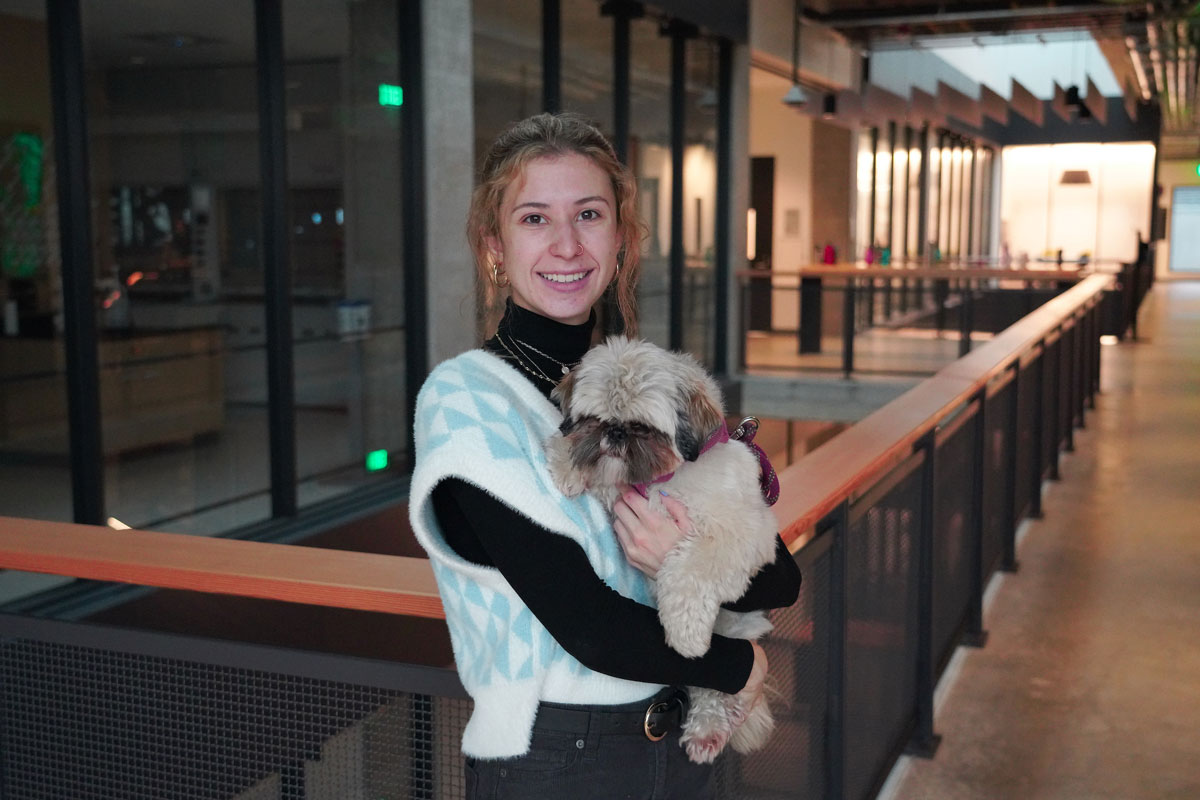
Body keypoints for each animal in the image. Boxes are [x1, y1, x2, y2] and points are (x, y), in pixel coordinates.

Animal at [544, 335, 777, 767]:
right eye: (595, 419)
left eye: (643, 427)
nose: (616, 434)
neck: (668, 477)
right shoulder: (624, 490)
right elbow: (596, 469)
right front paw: (569, 464)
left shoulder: (739, 536)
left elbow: (690, 571)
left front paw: (685, 634)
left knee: (714, 692)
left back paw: (708, 728)